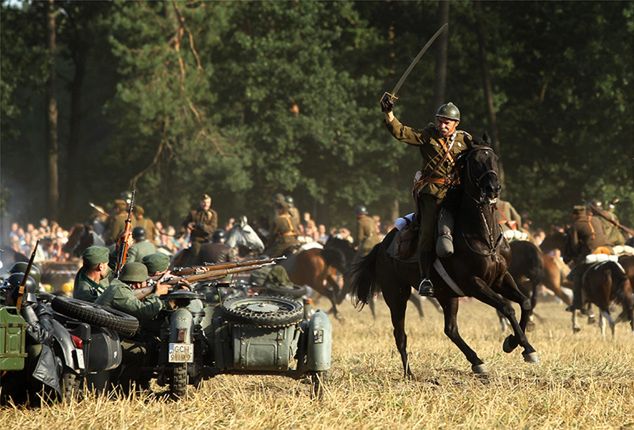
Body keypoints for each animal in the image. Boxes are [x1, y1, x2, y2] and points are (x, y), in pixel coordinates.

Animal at [348, 144, 536, 376]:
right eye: (475, 162)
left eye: (494, 158)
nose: (493, 188)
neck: (484, 236)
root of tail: (382, 246)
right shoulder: (475, 284)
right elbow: (507, 307)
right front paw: (521, 345)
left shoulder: (500, 279)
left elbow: (525, 302)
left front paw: (517, 343)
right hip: (396, 294)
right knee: (400, 334)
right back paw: (409, 373)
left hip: (447, 295)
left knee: (450, 329)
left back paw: (477, 362)